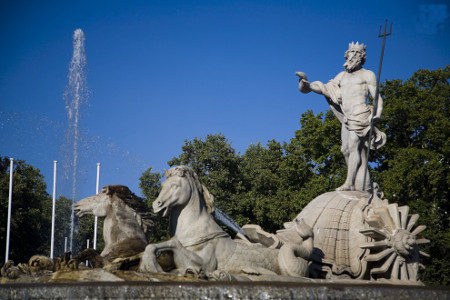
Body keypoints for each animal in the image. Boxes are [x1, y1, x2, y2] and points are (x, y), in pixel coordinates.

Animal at [137, 165, 312, 278]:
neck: (193, 229)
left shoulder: (204, 264)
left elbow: (175, 244)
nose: (157, 204)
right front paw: (149, 263)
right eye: (162, 185)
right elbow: (157, 245)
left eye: (175, 186)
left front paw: (151, 265)